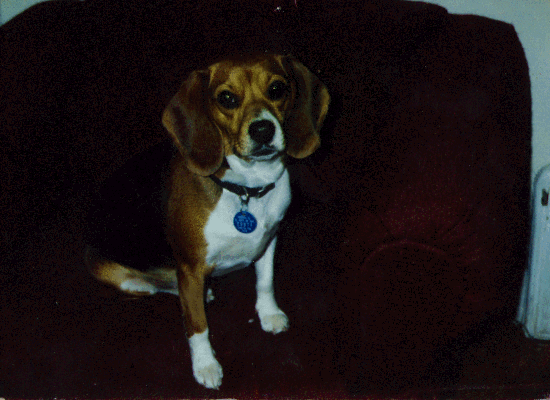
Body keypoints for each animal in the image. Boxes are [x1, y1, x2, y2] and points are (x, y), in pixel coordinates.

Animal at [85, 53, 330, 389]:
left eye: (277, 89)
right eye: (226, 98)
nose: (263, 130)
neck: (246, 190)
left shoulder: (269, 241)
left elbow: (265, 282)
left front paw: (269, 314)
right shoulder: (190, 266)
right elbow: (197, 324)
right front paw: (206, 365)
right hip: (113, 273)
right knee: (157, 287)